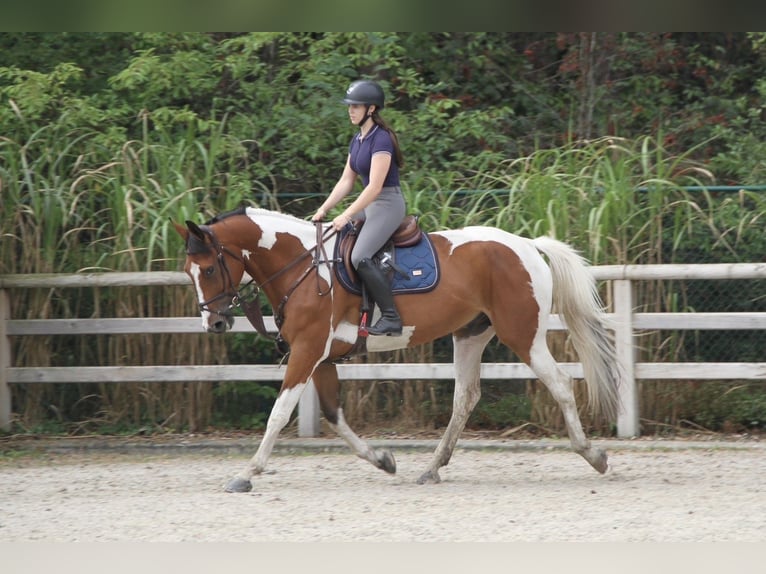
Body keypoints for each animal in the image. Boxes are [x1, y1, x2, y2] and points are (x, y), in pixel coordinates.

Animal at [173, 206, 622, 493]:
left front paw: (248, 473)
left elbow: (279, 413)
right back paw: (433, 468)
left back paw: (594, 456)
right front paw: (382, 460)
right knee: (465, 397)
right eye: (189, 271)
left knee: (560, 384)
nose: (214, 323)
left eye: (209, 269)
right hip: (471, 335)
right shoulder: (322, 357)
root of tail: (526, 244)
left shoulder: (306, 351)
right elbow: (334, 415)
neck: (304, 266)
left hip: (523, 335)